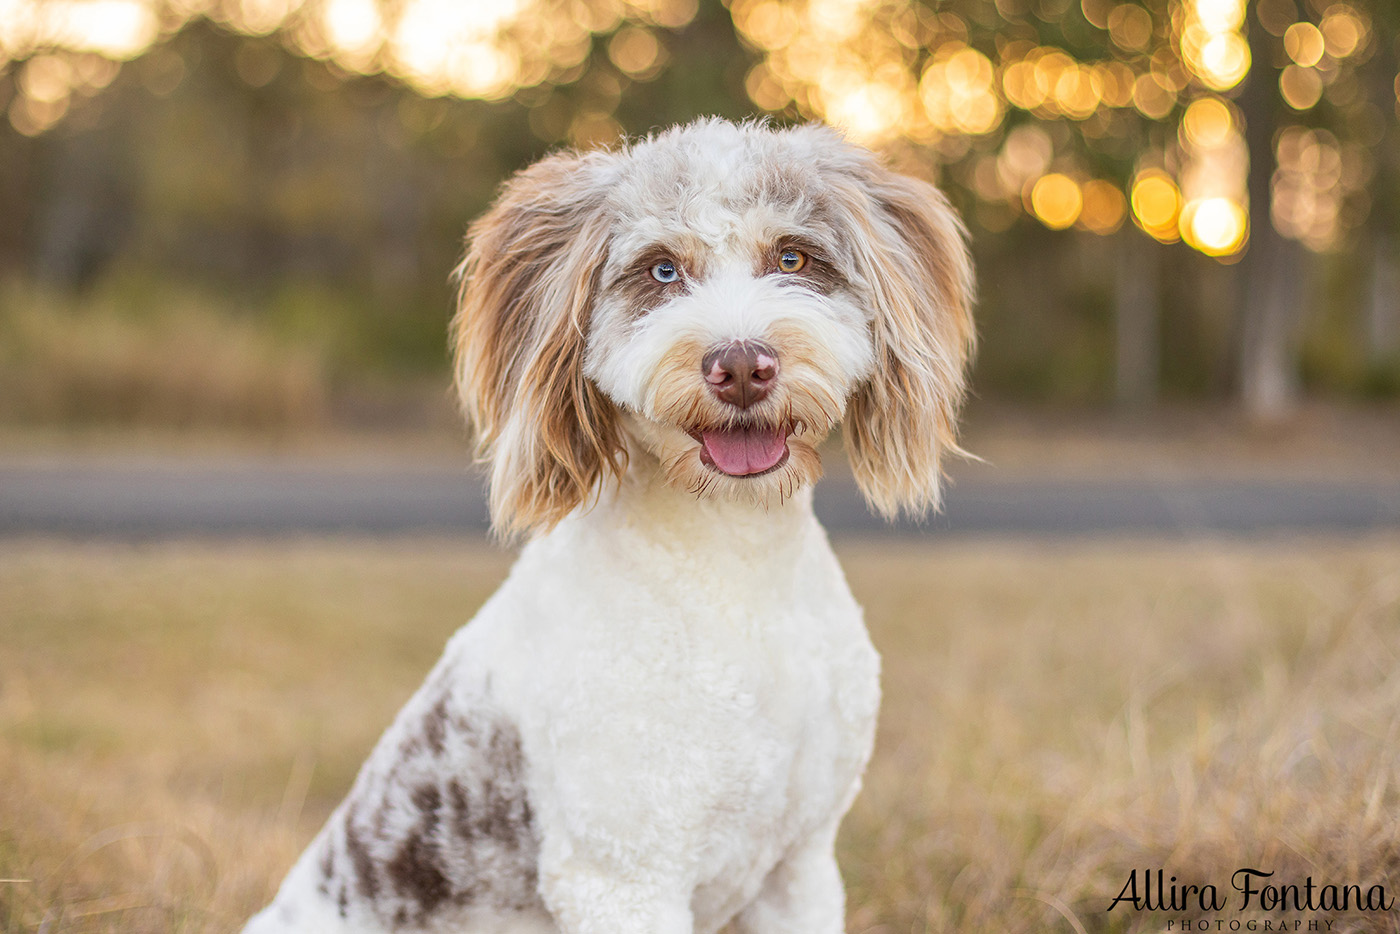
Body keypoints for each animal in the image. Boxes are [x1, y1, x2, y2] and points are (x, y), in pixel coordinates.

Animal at [246, 119, 974, 934]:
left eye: (792, 257)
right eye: (661, 270)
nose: (742, 366)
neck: (737, 566)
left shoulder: (801, 864)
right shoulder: (623, 875)